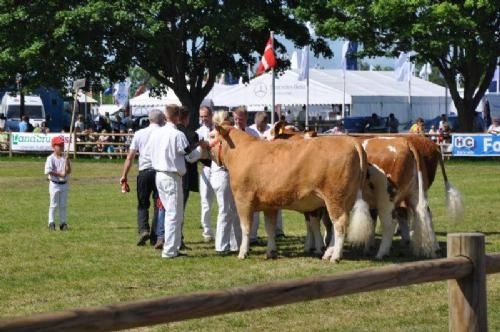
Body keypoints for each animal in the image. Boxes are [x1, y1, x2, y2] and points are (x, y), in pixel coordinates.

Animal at [206, 120, 372, 264]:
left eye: (212, 136)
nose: (205, 147)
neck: (241, 152)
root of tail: (351, 141)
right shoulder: (269, 204)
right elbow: (270, 228)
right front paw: (271, 251)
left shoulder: (243, 199)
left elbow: (246, 227)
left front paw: (242, 252)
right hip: (346, 199)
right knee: (337, 223)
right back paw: (328, 253)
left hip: (334, 197)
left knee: (339, 223)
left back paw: (335, 256)